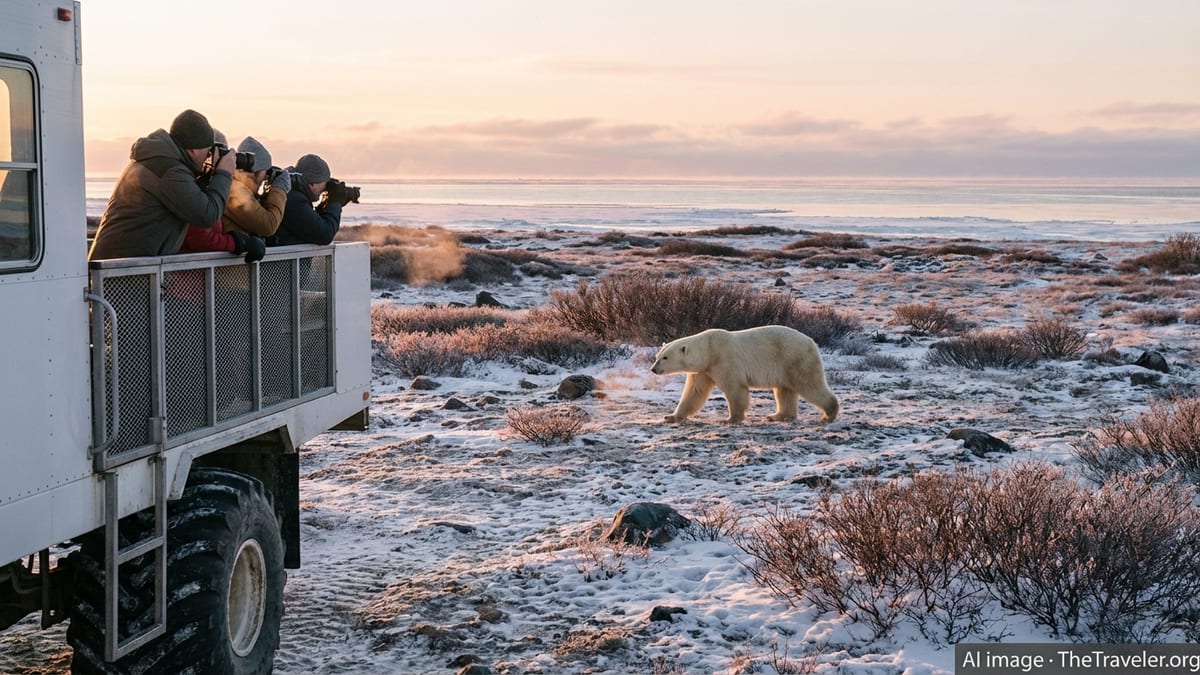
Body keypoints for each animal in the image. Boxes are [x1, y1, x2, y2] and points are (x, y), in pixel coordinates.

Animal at [650, 325, 838, 424]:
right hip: (784, 367)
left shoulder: (725, 360)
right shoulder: (703, 370)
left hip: (795, 359)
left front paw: (731, 418)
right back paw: (778, 415)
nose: (653, 369)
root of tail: (812, 342)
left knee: (810, 385)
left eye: (665, 358)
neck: (709, 350)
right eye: (657, 356)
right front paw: (671, 416)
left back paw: (829, 413)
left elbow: (735, 389)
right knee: (784, 390)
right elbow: (694, 393)